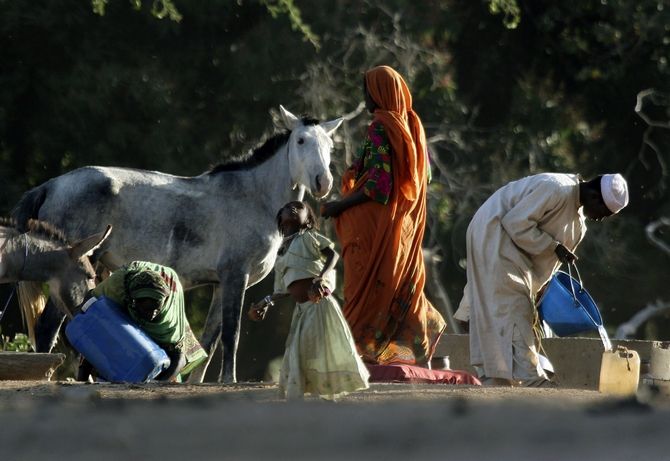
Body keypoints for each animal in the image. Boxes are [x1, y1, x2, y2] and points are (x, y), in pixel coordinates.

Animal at [13, 107, 344, 380]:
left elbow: (210, 341)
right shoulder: (236, 277)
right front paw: (229, 380)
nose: (323, 182)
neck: (252, 197)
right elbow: (231, 335)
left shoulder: (221, 285)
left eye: (329, 146)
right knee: (48, 327)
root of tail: (52, 185)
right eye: (301, 140)